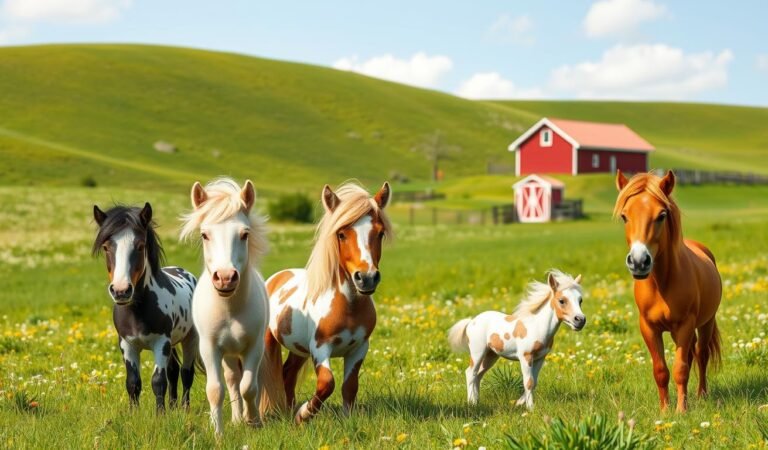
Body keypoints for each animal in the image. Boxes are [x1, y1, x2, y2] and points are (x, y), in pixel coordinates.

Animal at [92, 203, 198, 411]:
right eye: (106, 247)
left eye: (140, 246)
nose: (121, 290)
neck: (138, 312)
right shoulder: (127, 345)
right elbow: (133, 382)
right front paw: (134, 413)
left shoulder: (161, 343)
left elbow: (158, 381)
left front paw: (160, 415)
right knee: (173, 371)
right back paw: (173, 406)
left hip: (189, 339)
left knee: (186, 373)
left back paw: (184, 408)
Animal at [180, 177, 281, 435]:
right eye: (204, 234)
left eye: (244, 234)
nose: (225, 278)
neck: (230, 309)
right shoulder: (210, 348)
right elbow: (216, 390)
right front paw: (219, 433)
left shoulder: (254, 347)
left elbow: (250, 387)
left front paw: (253, 422)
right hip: (227, 355)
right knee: (232, 379)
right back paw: (236, 418)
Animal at [259, 181, 392, 424]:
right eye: (341, 234)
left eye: (380, 233)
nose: (366, 277)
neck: (348, 307)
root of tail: (276, 278)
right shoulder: (320, 348)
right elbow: (327, 383)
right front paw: (304, 414)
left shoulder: (359, 348)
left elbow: (350, 386)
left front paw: (346, 419)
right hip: (269, 343)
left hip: (298, 349)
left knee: (288, 373)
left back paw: (289, 412)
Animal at [448, 270, 585, 410]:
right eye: (562, 300)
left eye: (580, 300)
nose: (580, 320)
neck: (536, 326)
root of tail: (471, 321)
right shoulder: (525, 357)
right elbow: (528, 382)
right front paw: (530, 408)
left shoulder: (540, 358)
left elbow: (534, 382)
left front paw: (518, 403)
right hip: (478, 352)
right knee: (471, 373)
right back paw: (471, 403)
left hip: (491, 355)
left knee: (478, 375)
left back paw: (476, 401)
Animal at [614, 170, 722, 412]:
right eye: (625, 216)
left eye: (661, 215)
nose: (638, 262)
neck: (661, 285)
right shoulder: (649, 328)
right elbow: (661, 370)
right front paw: (665, 410)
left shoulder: (685, 325)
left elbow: (680, 369)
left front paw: (681, 410)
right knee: (691, 355)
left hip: (706, 322)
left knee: (700, 355)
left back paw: (701, 395)